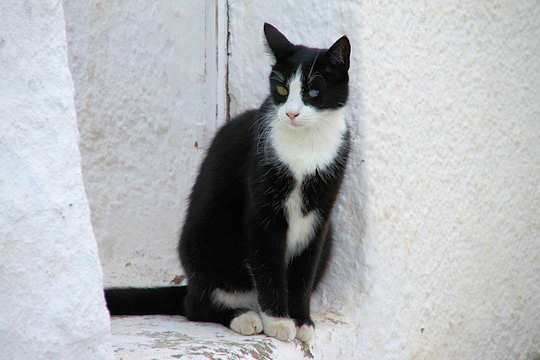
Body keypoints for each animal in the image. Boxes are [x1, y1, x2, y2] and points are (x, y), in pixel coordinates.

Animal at [104, 22, 350, 344]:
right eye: (282, 89)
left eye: (313, 91)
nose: (291, 112)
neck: (306, 146)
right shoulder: (262, 209)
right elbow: (268, 263)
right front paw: (278, 322)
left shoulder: (321, 214)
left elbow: (303, 272)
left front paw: (302, 321)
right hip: (206, 239)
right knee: (194, 306)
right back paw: (243, 316)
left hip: (329, 235)